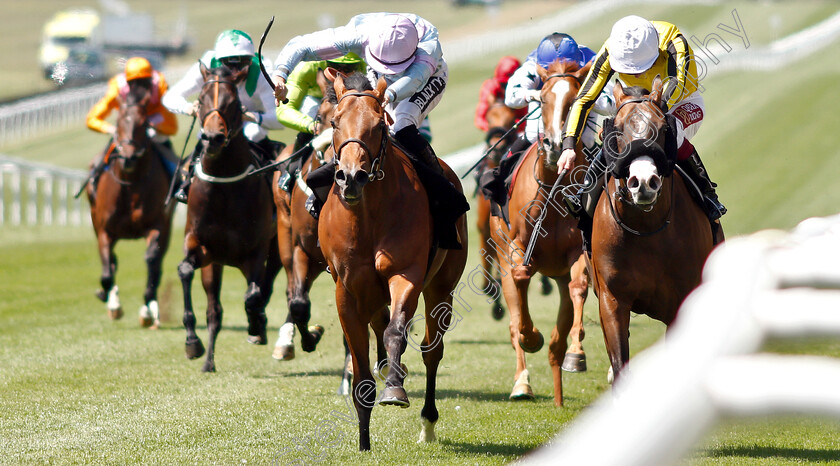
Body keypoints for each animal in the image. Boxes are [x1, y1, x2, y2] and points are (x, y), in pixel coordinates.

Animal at [88, 88, 175, 328]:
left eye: (144, 122)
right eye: (118, 121)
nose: (128, 156)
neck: (131, 183)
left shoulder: (158, 225)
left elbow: (151, 261)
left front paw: (147, 310)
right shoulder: (104, 230)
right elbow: (107, 271)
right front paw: (112, 303)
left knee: (157, 264)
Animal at [177, 63, 282, 374]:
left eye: (233, 102)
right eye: (201, 100)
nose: (212, 138)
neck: (224, 186)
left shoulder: (256, 251)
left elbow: (253, 295)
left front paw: (256, 325)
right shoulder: (201, 246)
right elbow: (185, 272)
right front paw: (193, 343)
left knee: (265, 286)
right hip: (216, 263)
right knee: (215, 309)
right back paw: (209, 360)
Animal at [318, 73, 470, 452]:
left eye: (378, 125)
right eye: (334, 122)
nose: (352, 176)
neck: (368, 215)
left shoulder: (406, 275)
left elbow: (395, 330)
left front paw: (395, 390)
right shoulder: (347, 290)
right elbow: (360, 368)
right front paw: (363, 443)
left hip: (442, 286)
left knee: (432, 350)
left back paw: (427, 423)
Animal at [486, 60, 592, 406]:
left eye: (574, 100)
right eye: (543, 99)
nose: (556, 145)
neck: (553, 190)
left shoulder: (577, 253)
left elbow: (580, 284)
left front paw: (578, 350)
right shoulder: (518, 247)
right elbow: (521, 280)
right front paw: (530, 336)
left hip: (558, 275)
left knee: (557, 344)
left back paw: (559, 394)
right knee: (513, 319)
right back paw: (522, 383)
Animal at [592, 75, 716, 382]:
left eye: (662, 129)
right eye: (617, 130)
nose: (644, 182)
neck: (646, 230)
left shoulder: (680, 303)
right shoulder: (612, 301)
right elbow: (619, 364)